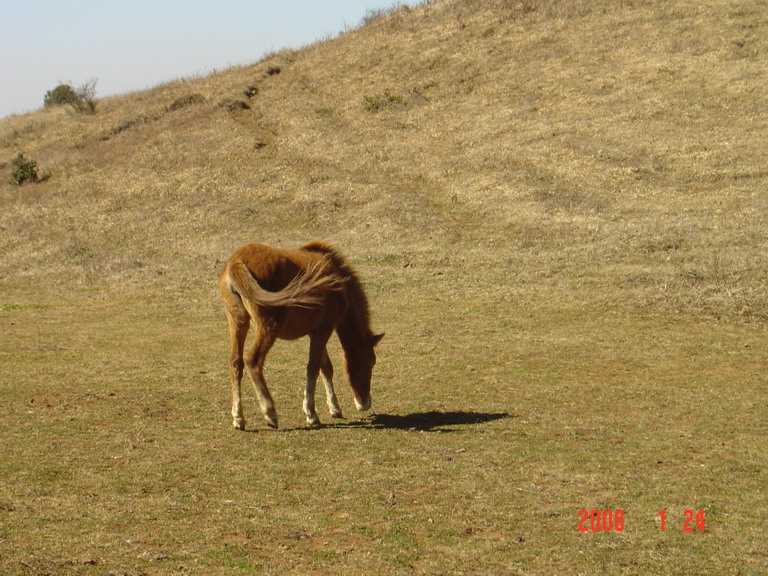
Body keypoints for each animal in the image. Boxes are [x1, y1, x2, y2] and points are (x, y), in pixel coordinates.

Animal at [219, 242, 380, 428]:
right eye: (370, 362)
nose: (364, 403)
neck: (339, 285)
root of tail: (237, 261)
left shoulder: (316, 332)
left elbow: (326, 368)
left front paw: (334, 408)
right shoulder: (323, 330)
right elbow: (313, 368)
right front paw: (311, 413)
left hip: (238, 323)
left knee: (236, 363)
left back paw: (238, 418)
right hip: (268, 326)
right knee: (253, 359)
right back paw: (270, 412)